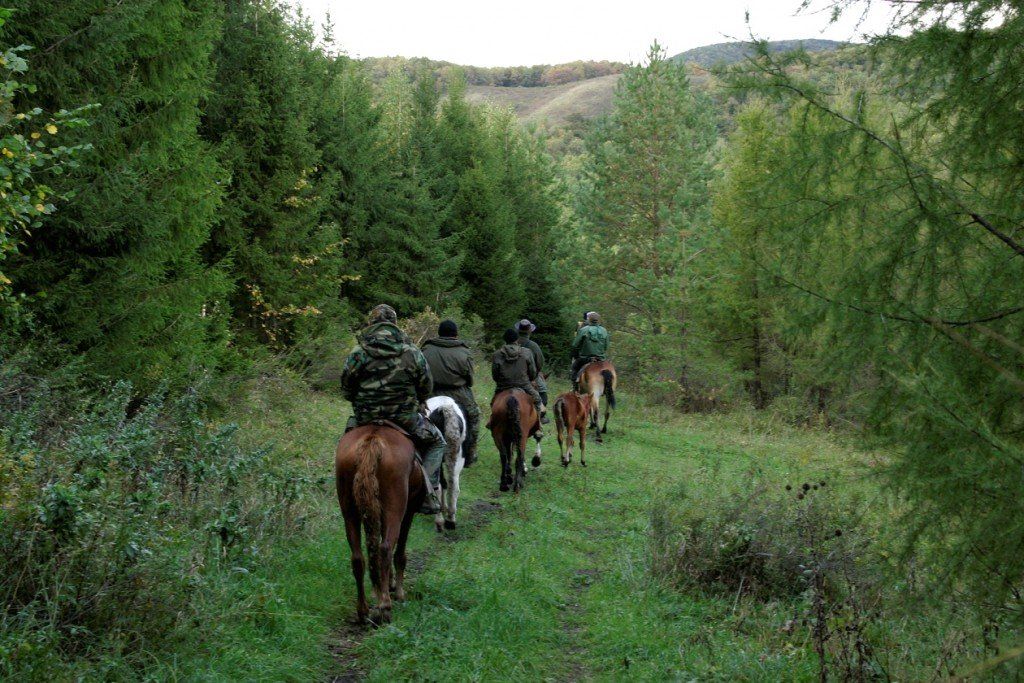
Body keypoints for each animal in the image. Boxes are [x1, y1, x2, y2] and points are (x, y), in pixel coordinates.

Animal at [331, 428, 419, 626]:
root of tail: (373, 440)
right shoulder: (409, 510)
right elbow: (399, 551)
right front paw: (398, 591)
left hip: (350, 511)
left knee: (358, 557)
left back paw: (363, 610)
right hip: (394, 509)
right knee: (385, 549)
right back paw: (384, 607)